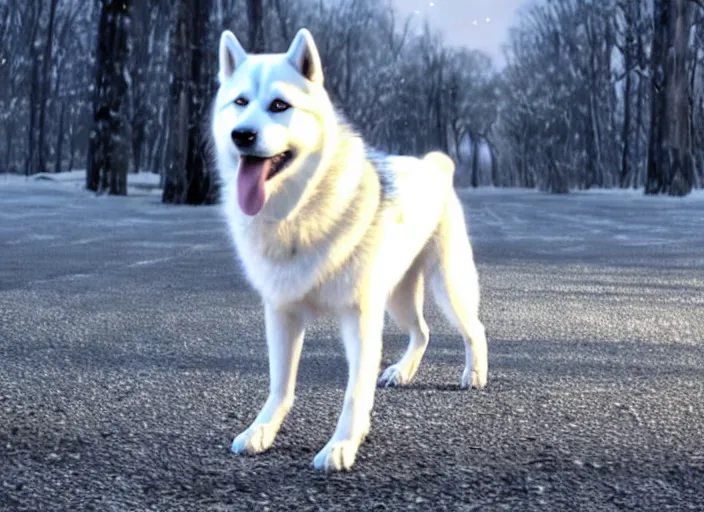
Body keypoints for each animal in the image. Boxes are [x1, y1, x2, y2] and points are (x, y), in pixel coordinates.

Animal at [212, 27, 486, 468]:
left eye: (279, 105)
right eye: (239, 102)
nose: (243, 135)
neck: (298, 211)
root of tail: (433, 164)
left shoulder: (359, 319)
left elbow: (354, 393)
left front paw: (341, 446)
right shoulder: (281, 314)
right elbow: (280, 386)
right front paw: (261, 431)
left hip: (448, 287)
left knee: (474, 329)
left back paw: (475, 375)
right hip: (397, 297)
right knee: (422, 331)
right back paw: (401, 372)